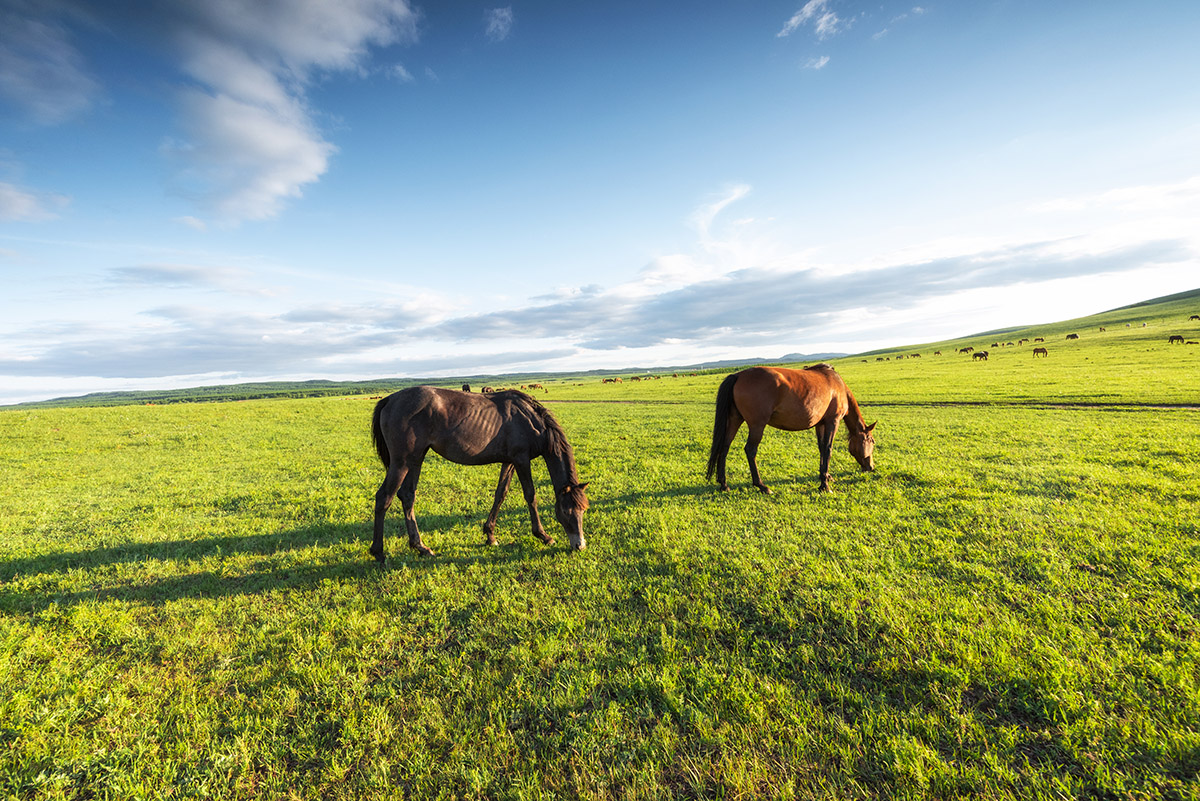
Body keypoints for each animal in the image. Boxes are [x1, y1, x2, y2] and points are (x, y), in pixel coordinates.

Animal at [370, 387, 589, 561]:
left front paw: (490, 535)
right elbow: (530, 495)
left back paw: (420, 547)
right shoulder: (521, 459)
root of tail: (390, 399)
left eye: (583, 510)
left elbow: (501, 494)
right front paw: (543, 535)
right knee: (384, 498)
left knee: (407, 496)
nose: (580, 545)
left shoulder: (509, 461)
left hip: (415, 459)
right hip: (401, 462)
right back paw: (378, 552)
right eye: (567, 511)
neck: (529, 419)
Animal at [706, 365, 875, 494]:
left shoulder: (820, 424)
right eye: (872, 441)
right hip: (757, 425)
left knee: (724, 447)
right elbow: (828, 449)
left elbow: (821, 449)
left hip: (734, 420)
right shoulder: (832, 422)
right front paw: (825, 486)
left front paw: (826, 476)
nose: (871, 467)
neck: (837, 386)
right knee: (750, 450)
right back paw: (762, 486)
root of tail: (738, 375)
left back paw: (724, 484)